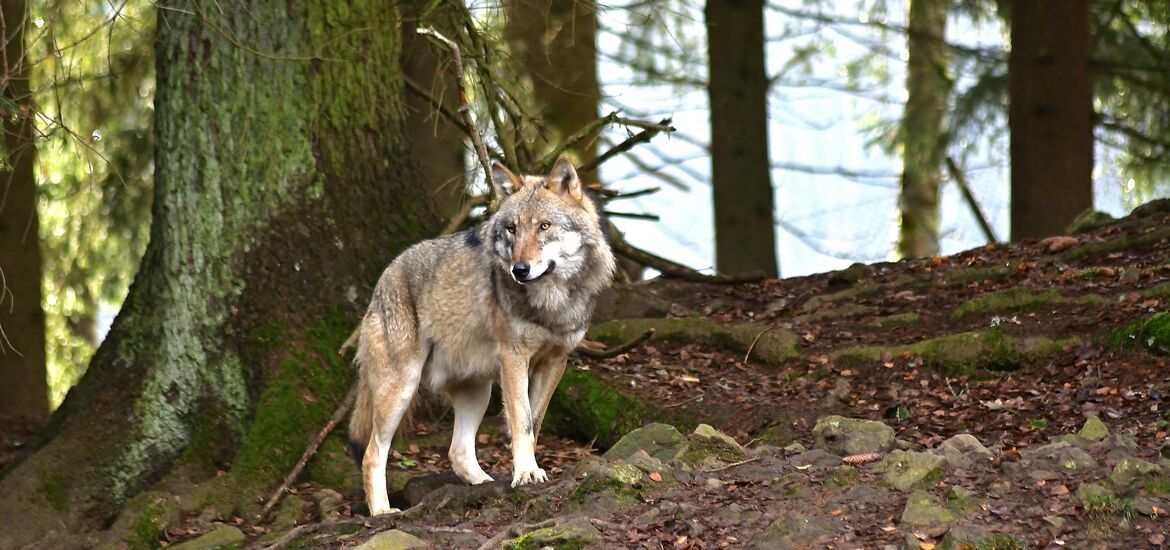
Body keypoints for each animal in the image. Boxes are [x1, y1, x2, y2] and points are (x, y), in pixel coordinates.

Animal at [347, 156, 616, 515]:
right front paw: (526, 473)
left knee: (457, 452)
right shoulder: (514, 357)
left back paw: (485, 484)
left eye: (544, 226)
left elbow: (534, 422)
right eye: (512, 229)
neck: (551, 302)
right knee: (372, 454)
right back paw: (382, 511)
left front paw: (526, 470)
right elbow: (521, 421)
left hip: (478, 390)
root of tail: (385, 275)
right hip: (402, 388)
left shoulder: (555, 361)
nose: (519, 270)